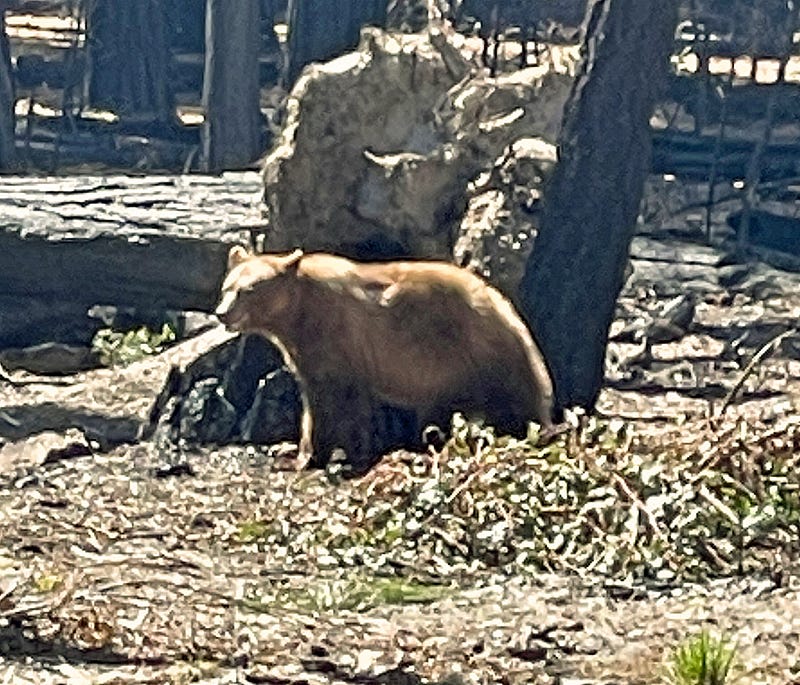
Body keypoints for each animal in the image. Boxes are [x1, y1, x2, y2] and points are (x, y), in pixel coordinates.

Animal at [217, 247, 556, 476]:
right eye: (227, 287)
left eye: (248, 290)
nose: (222, 313)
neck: (297, 313)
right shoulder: (310, 350)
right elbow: (319, 399)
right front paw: (297, 451)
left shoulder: (336, 337)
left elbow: (336, 399)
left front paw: (316, 457)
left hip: (476, 359)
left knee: (512, 406)